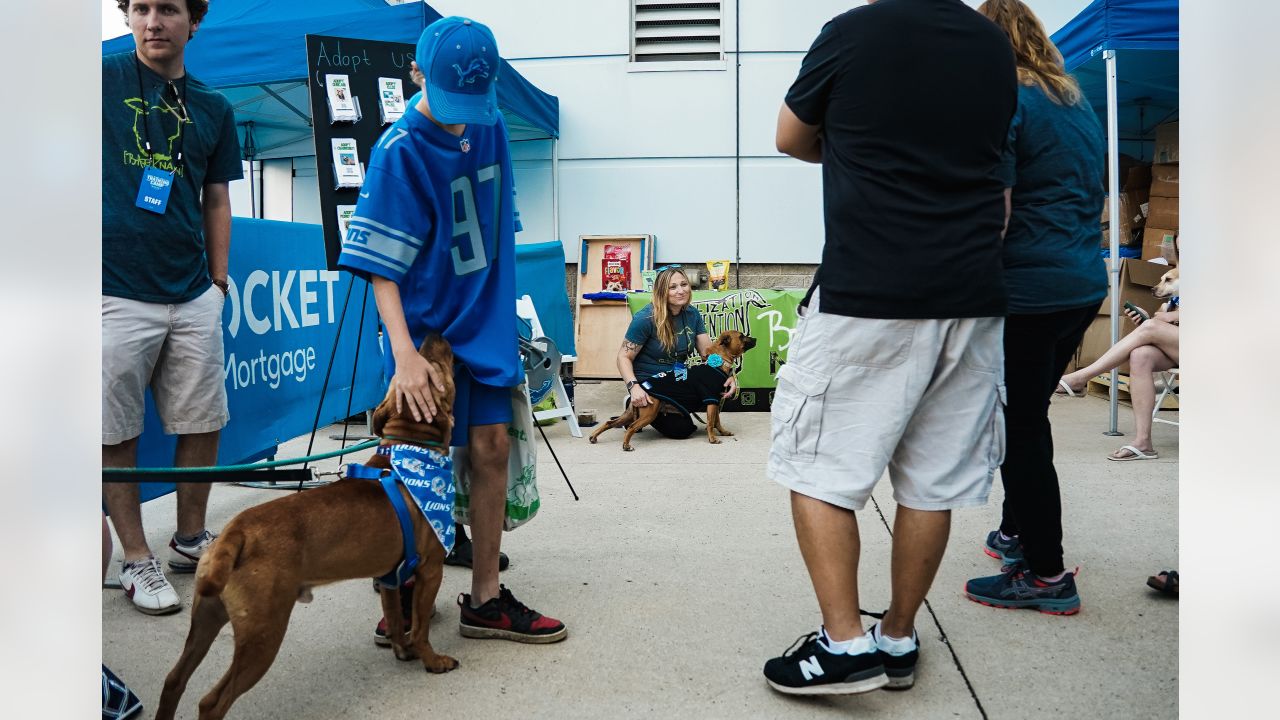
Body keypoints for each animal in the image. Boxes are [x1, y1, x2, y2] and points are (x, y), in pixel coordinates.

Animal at [156, 333, 460, 717]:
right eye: (435, 370)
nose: (436, 334)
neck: (409, 446)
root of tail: (236, 533)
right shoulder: (430, 570)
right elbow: (420, 627)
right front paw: (432, 660)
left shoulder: (390, 577)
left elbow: (394, 618)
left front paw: (402, 650)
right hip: (263, 635)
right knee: (212, 701)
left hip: (207, 618)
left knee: (173, 680)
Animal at [591, 330, 757, 448]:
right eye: (742, 336)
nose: (755, 339)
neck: (718, 361)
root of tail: (641, 389)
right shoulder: (711, 401)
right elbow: (711, 422)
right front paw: (712, 438)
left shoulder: (716, 401)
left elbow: (717, 421)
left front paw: (723, 432)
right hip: (648, 414)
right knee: (631, 426)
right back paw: (626, 445)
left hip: (630, 414)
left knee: (609, 423)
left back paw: (594, 436)